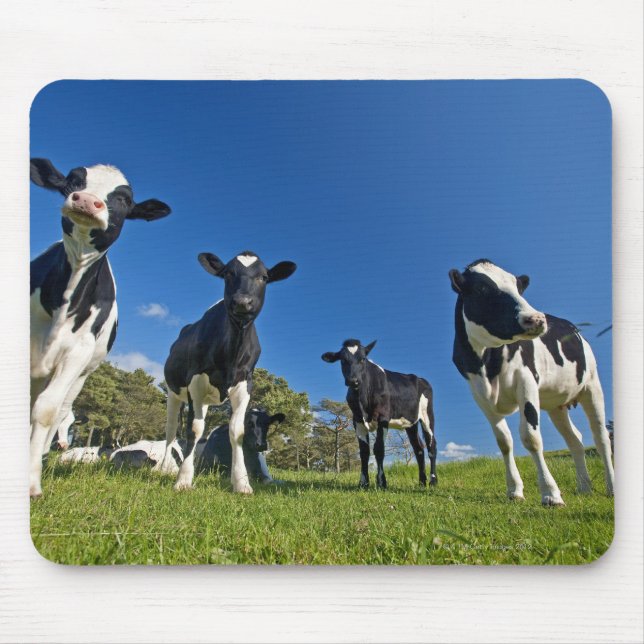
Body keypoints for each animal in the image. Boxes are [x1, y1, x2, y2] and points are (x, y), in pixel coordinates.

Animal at [29, 158, 171, 498]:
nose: (86, 201)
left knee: (57, 406)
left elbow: (47, 410)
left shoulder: (77, 353)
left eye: (124, 200)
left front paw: (31, 481)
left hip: (81, 374)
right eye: (73, 181)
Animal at [160, 251, 297, 493]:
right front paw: (183, 480)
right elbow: (193, 430)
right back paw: (165, 469)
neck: (232, 350)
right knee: (171, 430)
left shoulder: (244, 384)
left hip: (204, 400)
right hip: (174, 392)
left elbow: (236, 431)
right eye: (228, 274)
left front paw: (241, 482)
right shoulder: (195, 382)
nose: (242, 302)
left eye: (263, 277)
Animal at [322, 339, 437, 489]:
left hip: (427, 415)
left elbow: (379, 449)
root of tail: (420, 379)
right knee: (419, 448)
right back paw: (421, 482)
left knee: (431, 445)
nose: (353, 380)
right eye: (343, 360)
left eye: (362, 359)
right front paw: (363, 483)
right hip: (411, 423)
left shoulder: (383, 418)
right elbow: (364, 451)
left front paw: (382, 482)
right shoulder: (357, 420)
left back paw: (433, 481)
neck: (363, 398)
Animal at [448, 258, 614, 506]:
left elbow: (531, 437)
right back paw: (584, 487)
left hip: (591, 386)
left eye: (519, 288)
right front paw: (514, 490)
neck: (487, 364)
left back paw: (611, 487)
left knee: (601, 437)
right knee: (575, 439)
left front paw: (550, 493)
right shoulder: (479, 394)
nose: (536, 319)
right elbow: (504, 441)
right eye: (481, 289)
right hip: (556, 404)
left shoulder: (526, 380)